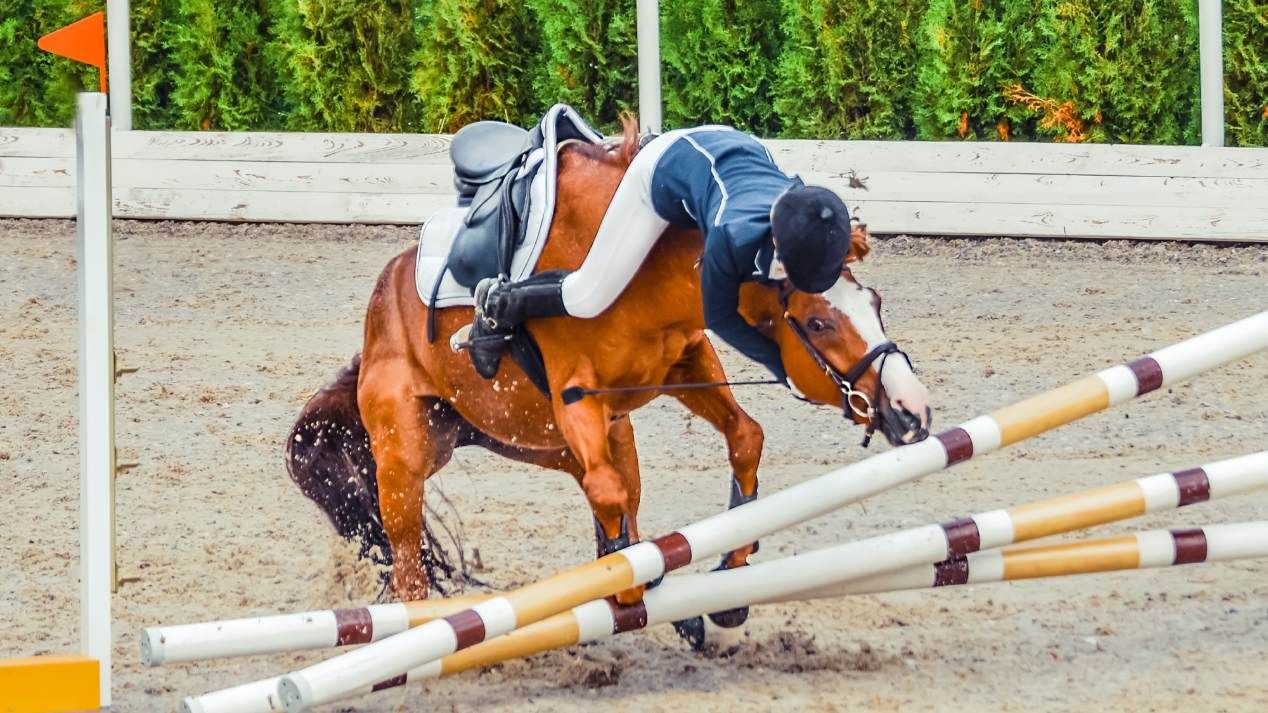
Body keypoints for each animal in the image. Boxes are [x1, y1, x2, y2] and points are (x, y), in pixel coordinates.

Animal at [287, 119, 933, 607]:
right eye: (820, 322)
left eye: (876, 303)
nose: (913, 412)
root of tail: (378, 313)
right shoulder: (577, 396)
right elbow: (611, 494)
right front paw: (640, 592)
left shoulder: (683, 362)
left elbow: (743, 438)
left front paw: (733, 565)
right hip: (406, 460)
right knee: (407, 562)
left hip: (541, 438)